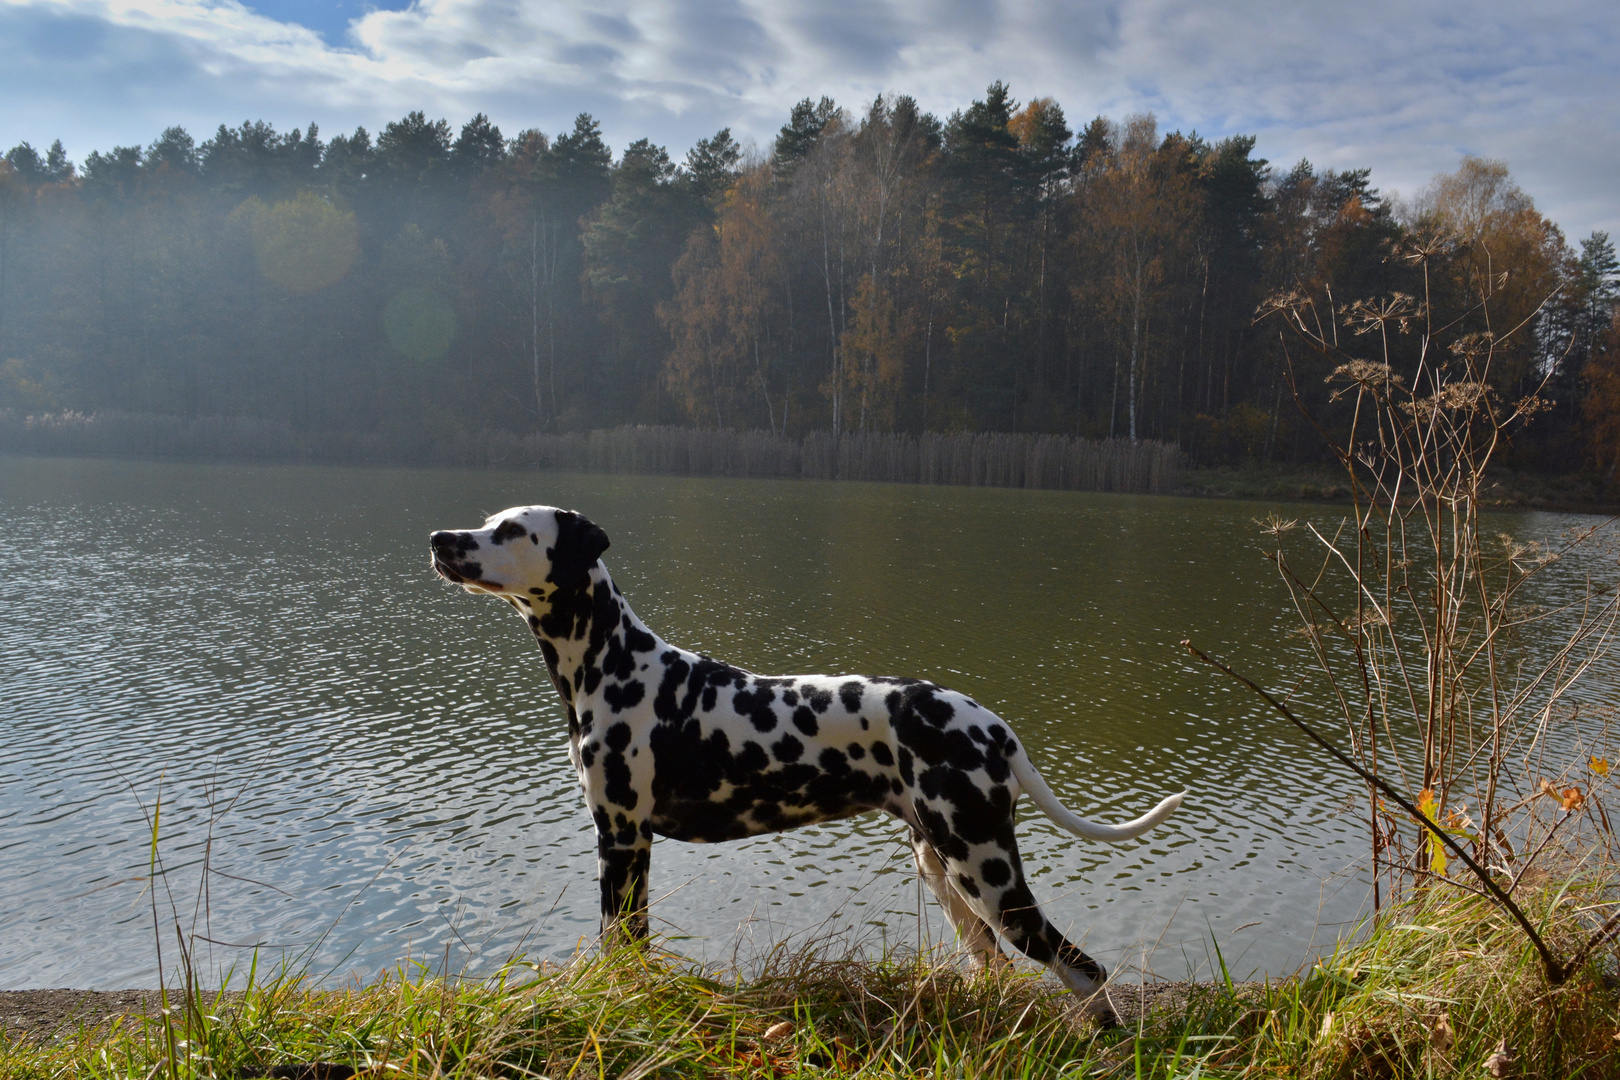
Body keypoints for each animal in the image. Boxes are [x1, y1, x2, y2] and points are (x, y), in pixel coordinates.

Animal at [427, 508, 1192, 1016]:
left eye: (511, 531)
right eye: (488, 521)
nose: (439, 539)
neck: (615, 666)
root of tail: (992, 725)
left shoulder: (621, 841)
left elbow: (625, 947)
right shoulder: (627, 843)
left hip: (987, 871)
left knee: (1084, 970)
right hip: (946, 871)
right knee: (998, 965)